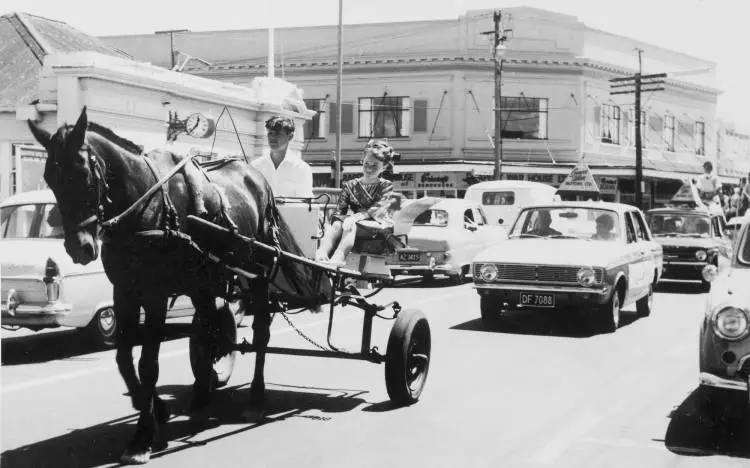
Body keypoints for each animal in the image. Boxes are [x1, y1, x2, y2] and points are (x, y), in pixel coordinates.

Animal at [30, 107, 328, 464]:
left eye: (85, 175)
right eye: (50, 178)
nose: (80, 248)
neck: (144, 204)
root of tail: (260, 181)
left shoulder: (155, 293)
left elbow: (148, 363)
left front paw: (142, 437)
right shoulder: (124, 291)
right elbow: (124, 359)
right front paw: (154, 408)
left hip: (256, 273)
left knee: (260, 335)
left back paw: (256, 399)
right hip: (205, 280)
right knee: (210, 328)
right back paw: (201, 395)